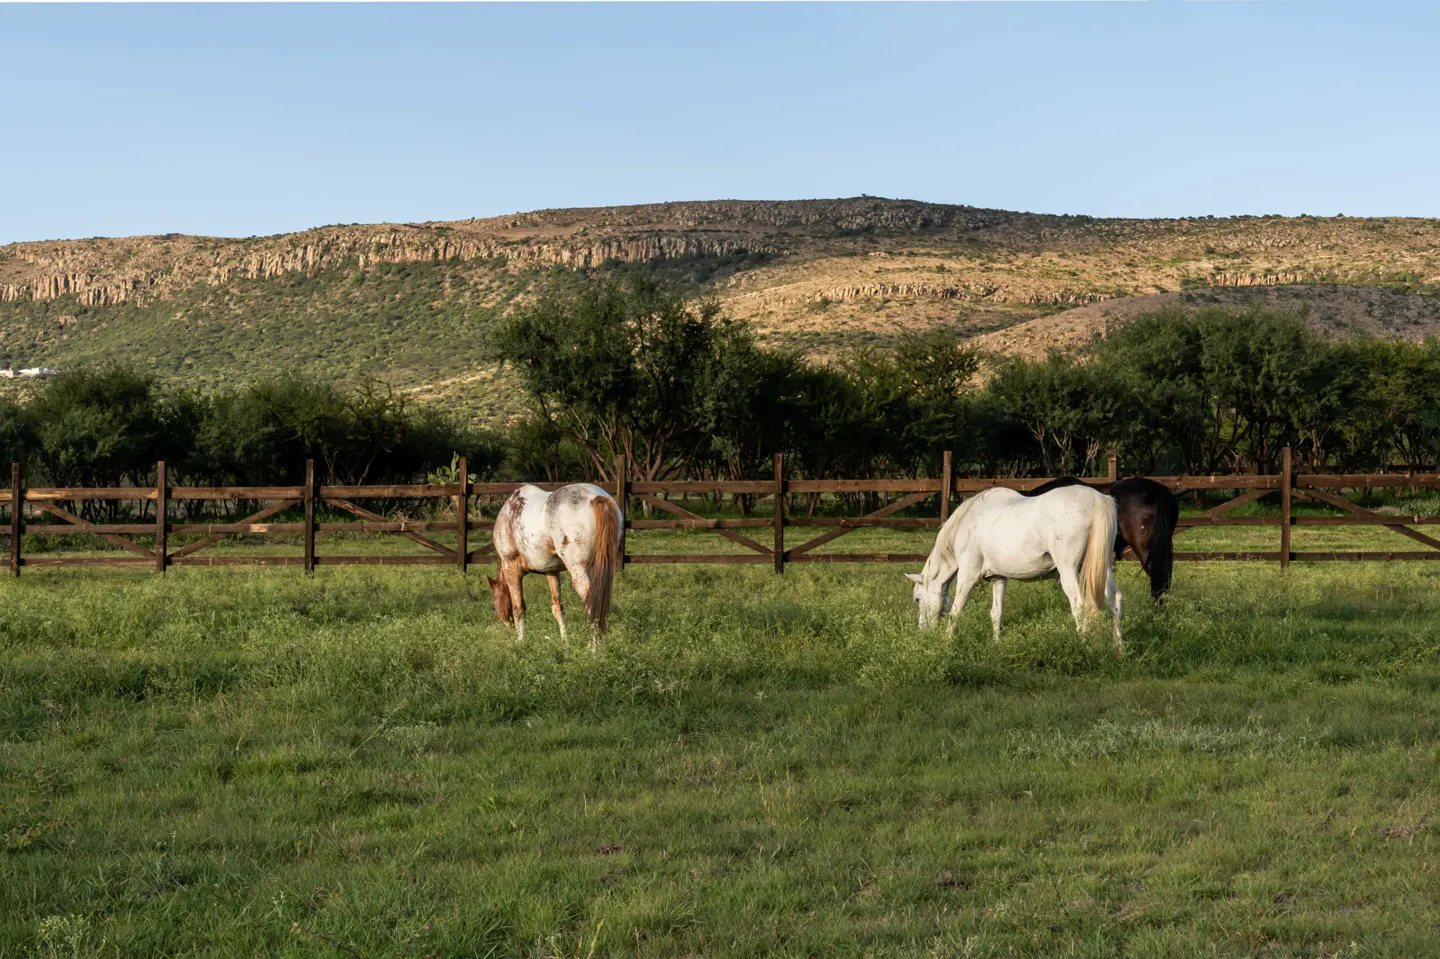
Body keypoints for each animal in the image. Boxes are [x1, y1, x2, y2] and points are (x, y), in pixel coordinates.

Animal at [487, 483, 622, 648]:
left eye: (494, 606)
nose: (508, 631)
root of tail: (596, 497)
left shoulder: (511, 568)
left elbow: (518, 608)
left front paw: (520, 641)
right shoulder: (551, 571)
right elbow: (558, 607)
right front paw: (565, 641)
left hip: (578, 570)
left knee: (592, 602)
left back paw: (593, 647)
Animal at [907, 484, 1123, 653]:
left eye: (917, 599)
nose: (923, 633)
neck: (968, 521)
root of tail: (1096, 498)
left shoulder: (968, 576)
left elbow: (955, 611)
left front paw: (946, 643)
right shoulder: (998, 579)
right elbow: (996, 613)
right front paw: (996, 644)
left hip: (1068, 571)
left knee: (1079, 605)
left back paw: (1084, 646)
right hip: (1104, 568)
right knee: (1114, 599)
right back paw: (1119, 649)